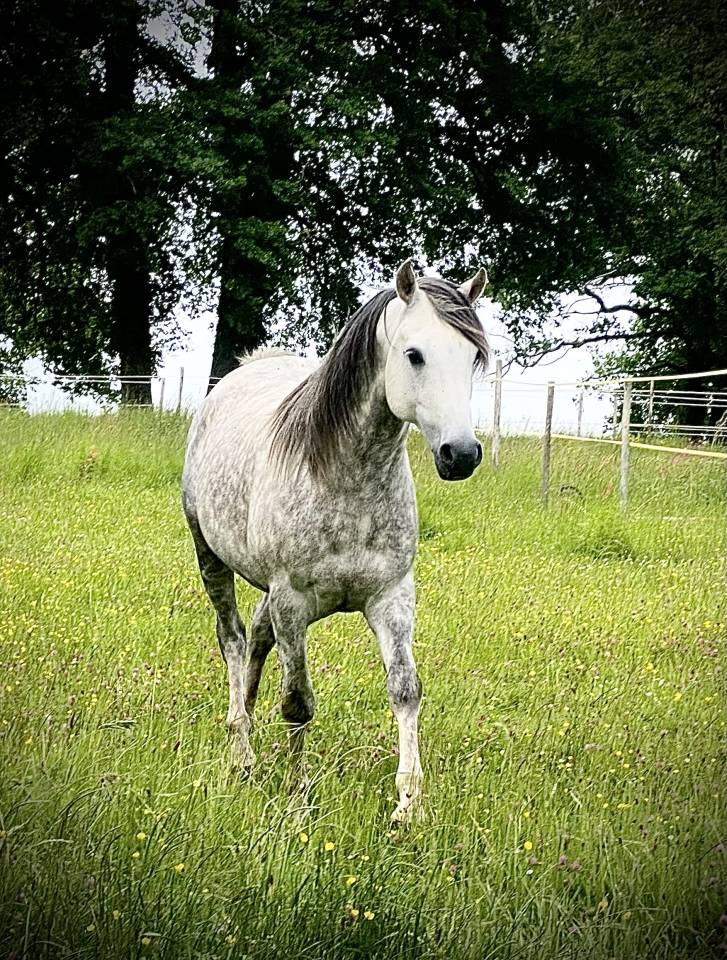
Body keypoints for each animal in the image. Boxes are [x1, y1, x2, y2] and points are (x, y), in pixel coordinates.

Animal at [182, 260, 489, 821]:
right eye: (414, 354)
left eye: (473, 356)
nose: (461, 454)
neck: (346, 478)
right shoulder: (292, 602)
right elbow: (297, 702)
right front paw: (298, 793)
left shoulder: (392, 598)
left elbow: (405, 690)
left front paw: (408, 802)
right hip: (210, 556)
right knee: (233, 639)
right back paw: (241, 748)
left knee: (256, 638)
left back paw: (247, 718)